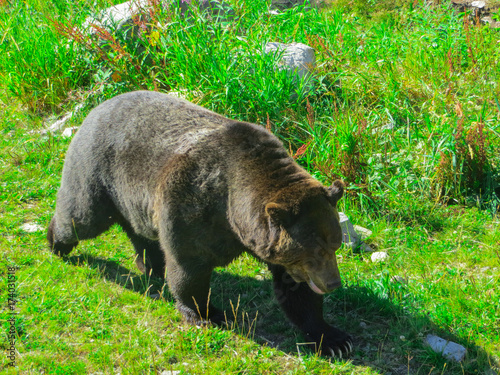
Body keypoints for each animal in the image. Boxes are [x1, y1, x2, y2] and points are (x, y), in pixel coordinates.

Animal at [47, 91, 352, 358]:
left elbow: (297, 292)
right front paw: (207, 314)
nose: (333, 283)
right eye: (316, 251)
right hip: (99, 172)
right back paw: (55, 243)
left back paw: (150, 265)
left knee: (140, 232)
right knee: (81, 216)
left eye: (334, 246)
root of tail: (98, 107)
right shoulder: (191, 204)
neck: (233, 210)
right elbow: (189, 268)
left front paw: (334, 339)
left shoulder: (270, 242)